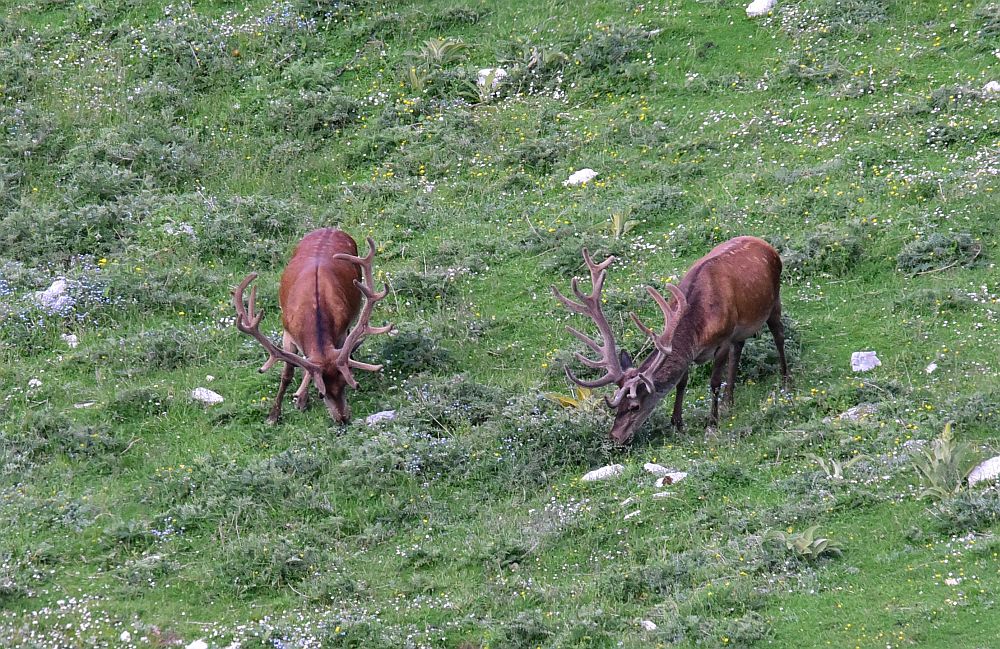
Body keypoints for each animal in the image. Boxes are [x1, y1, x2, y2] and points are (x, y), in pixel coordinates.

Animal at [233, 228, 390, 426]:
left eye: (344, 385)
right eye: (322, 393)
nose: (343, 419)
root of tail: (330, 228)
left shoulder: (340, 333)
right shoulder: (287, 332)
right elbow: (288, 373)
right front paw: (274, 415)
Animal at [556, 235, 788, 442]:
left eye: (634, 406)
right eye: (617, 406)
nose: (614, 437)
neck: (700, 330)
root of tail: (766, 244)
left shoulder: (723, 339)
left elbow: (714, 382)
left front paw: (711, 424)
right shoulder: (695, 350)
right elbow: (681, 383)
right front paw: (677, 423)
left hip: (774, 299)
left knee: (778, 335)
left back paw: (786, 381)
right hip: (741, 327)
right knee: (739, 347)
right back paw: (728, 401)